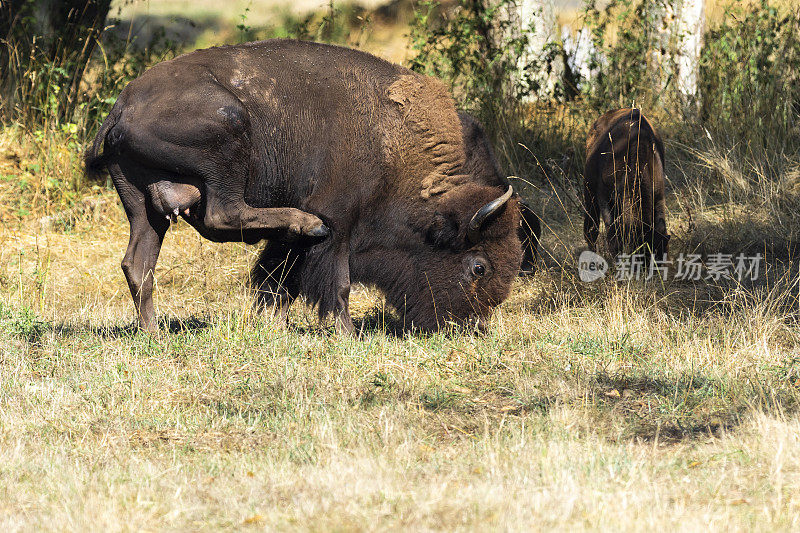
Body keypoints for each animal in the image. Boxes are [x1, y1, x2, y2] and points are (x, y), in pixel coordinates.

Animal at [86, 40, 532, 332]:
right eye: (478, 267)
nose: (471, 328)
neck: (392, 145)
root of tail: (121, 107)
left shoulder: (300, 247)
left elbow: (282, 280)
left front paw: (276, 324)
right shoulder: (340, 222)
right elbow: (337, 282)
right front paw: (346, 333)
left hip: (142, 204)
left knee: (138, 263)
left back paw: (153, 332)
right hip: (229, 130)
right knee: (222, 213)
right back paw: (305, 222)